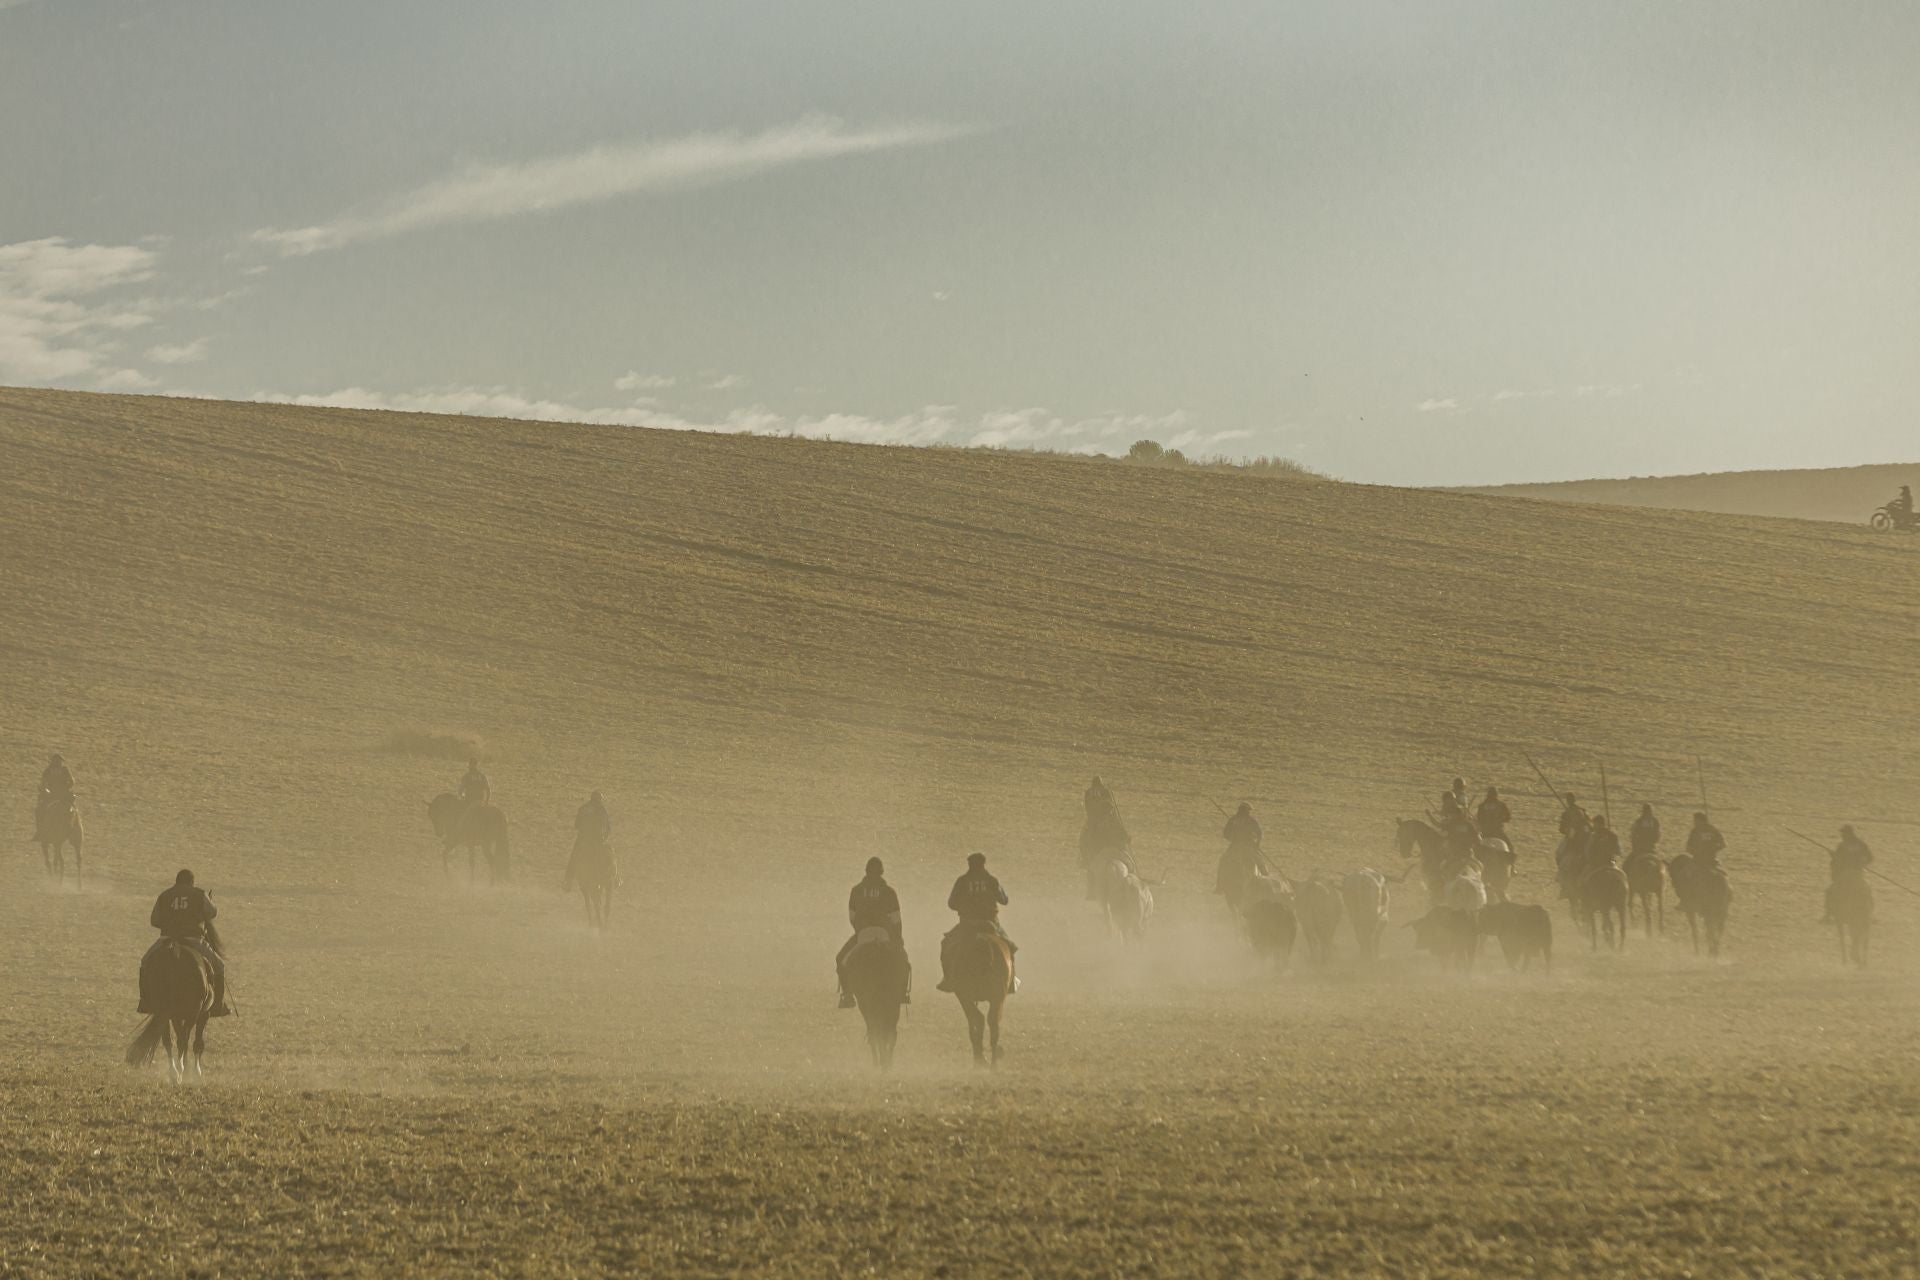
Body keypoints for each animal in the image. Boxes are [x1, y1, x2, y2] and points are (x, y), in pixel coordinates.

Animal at [126, 940, 215, 1082]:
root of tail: (175, 953)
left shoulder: (174, 1016)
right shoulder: (203, 1014)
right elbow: (196, 1042)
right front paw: (196, 1072)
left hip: (164, 1011)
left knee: (169, 1040)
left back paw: (174, 1072)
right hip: (192, 1013)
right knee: (182, 1040)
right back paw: (180, 1071)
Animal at [844, 932, 910, 1074]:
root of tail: (878, 945)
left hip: (870, 1001)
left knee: (879, 1030)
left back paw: (882, 1061)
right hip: (891, 1000)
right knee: (888, 1031)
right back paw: (886, 1062)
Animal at [948, 924, 1021, 1066]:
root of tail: (982, 942)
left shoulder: (963, 997)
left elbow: (973, 1024)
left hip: (968, 996)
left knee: (979, 1019)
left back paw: (982, 1059)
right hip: (997, 998)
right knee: (992, 1023)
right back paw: (993, 1063)